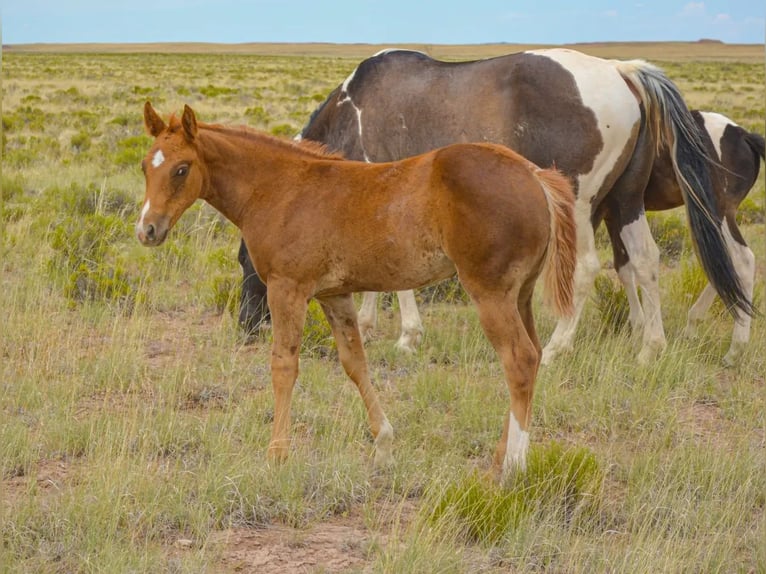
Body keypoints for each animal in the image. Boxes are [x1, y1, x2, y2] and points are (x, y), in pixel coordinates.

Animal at [136, 101, 576, 480]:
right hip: (520, 295)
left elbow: (284, 366)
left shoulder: (288, 289)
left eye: (181, 169)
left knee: (518, 360)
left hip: (490, 294)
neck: (280, 189)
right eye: (144, 166)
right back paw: (502, 456)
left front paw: (277, 453)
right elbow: (354, 363)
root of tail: (534, 175)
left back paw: (512, 467)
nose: (147, 230)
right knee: (534, 355)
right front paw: (383, 444)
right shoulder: (334, 295)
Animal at [604, 110, 764, 366]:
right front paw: (637, 331)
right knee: (721, 265)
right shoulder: (613, 214)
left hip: (719, 215)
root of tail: (744, 136)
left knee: (742, 261)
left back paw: (734, 350)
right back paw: (693, 325)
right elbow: (623, 268)